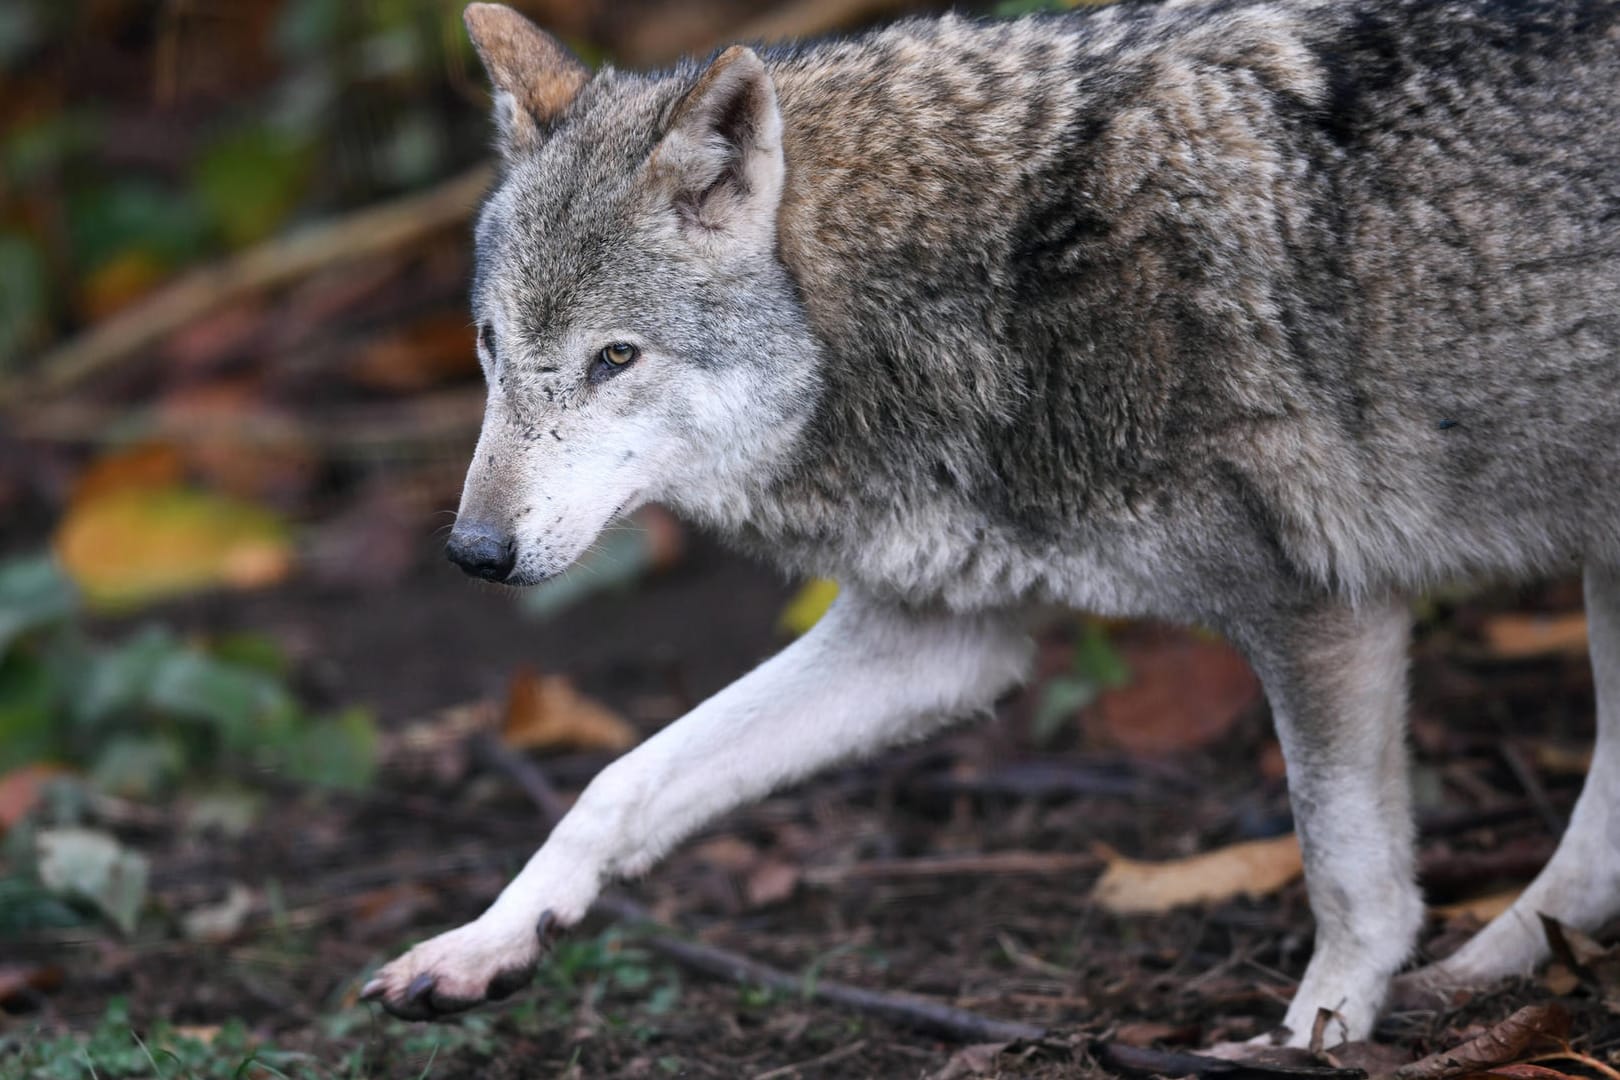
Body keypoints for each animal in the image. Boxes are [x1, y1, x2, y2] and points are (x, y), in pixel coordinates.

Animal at [364, 0, 1620, 1049]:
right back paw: (1504, 964)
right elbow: (617, 784)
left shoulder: (1320, 610)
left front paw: (1317, 1030)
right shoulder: (934, 642)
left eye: (615, 359)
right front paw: (488, 941)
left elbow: (1345, 866)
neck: (983, 291)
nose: (473, 553)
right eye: (488, 348)